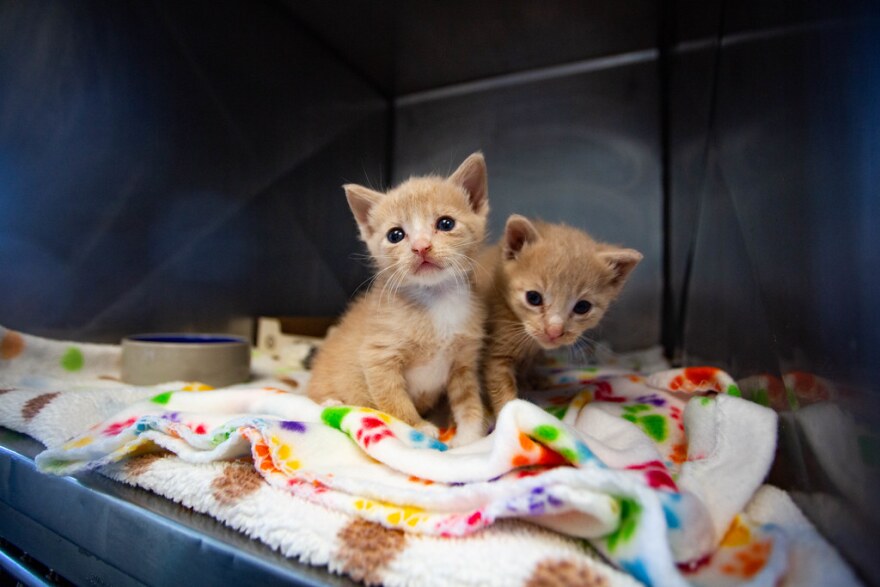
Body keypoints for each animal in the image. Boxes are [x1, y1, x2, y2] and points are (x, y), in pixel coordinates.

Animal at [308, 152, 488, 446]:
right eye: (396, 235)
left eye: (446, 224)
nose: (421, 247)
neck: (436, 300)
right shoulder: (378, 356)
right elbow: (393, 398)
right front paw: (418, 428)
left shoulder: (463, 361)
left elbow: (469, 401)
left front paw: (470, 438)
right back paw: (332, 404)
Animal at [478, 217, 644, 418]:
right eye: (533, 298)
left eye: (582, 307)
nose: (554, 331)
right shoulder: (495, 354)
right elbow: (501, 387)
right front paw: (511, 413)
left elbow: (527, 364)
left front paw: (530, 378)